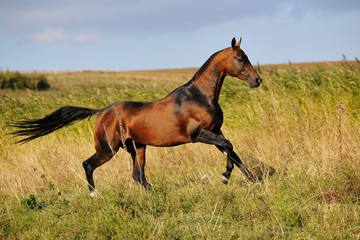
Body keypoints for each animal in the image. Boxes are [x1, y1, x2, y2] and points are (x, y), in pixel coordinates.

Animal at [9, 37, 262, 195]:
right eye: (240, 58)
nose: (257, 80)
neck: (199, 96)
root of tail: (101, 112)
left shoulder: (215, 131)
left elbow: (233, 152)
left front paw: (254, 180)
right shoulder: (198, 134)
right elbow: (230, 148)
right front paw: (225, 176)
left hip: (137, 147)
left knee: (138, 176)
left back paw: (155, 192)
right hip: (108, 149)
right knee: (88, 164)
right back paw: (94, 196)